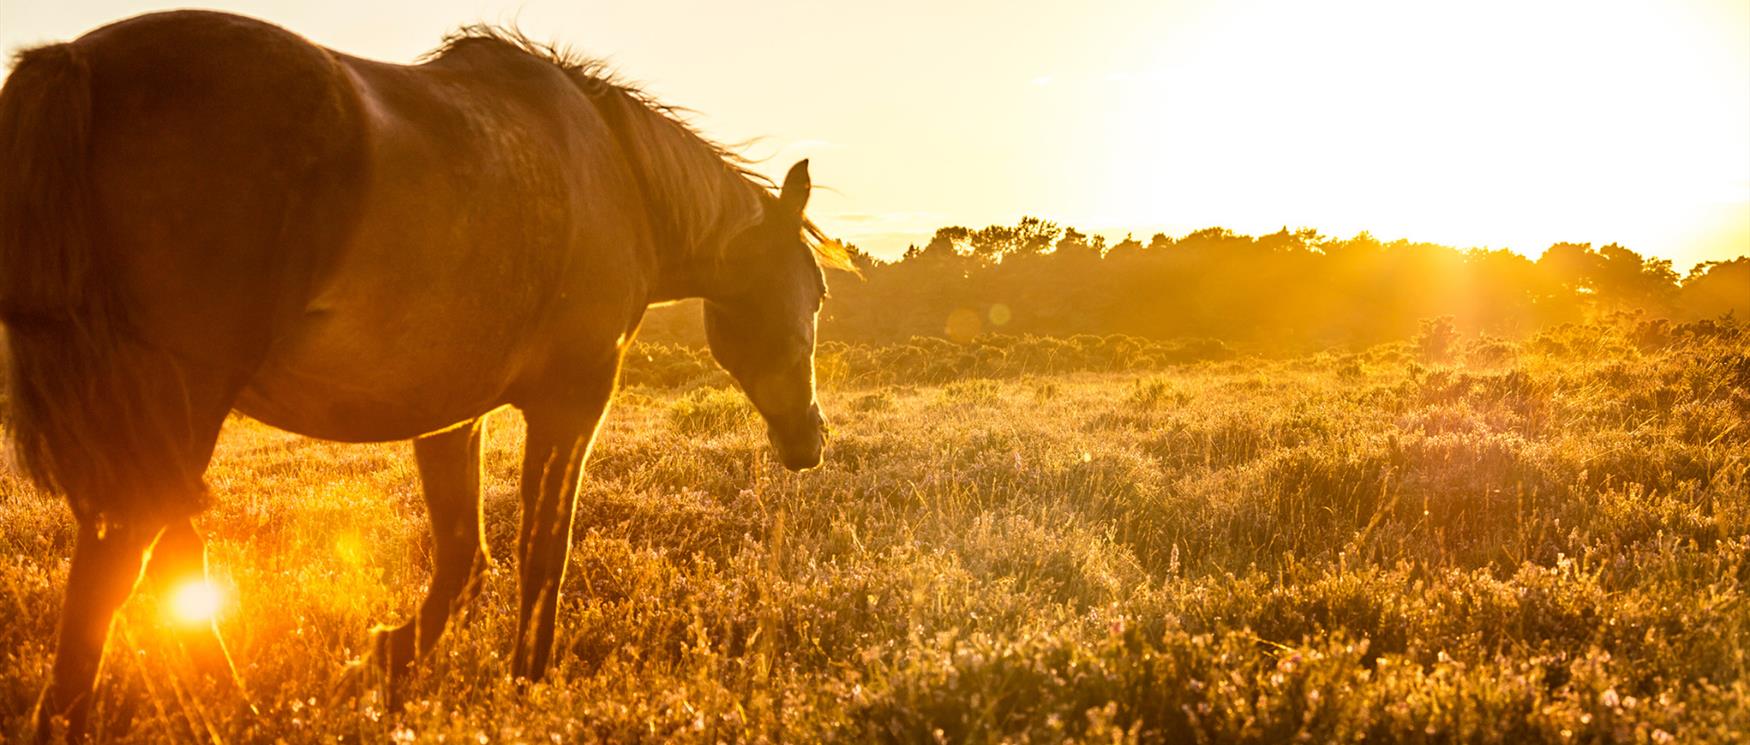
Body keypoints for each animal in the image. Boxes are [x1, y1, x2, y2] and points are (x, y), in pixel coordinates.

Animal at [0, 10, 847, 738]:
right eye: (816, 292)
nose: (812, 439)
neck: (616, 171)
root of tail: (80, 62)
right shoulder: (573, 400)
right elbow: (542, 552)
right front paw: (526, 682)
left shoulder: (452, 415)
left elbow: (463, 557)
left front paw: (382, 656)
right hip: (176, 401)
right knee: (123, 562)